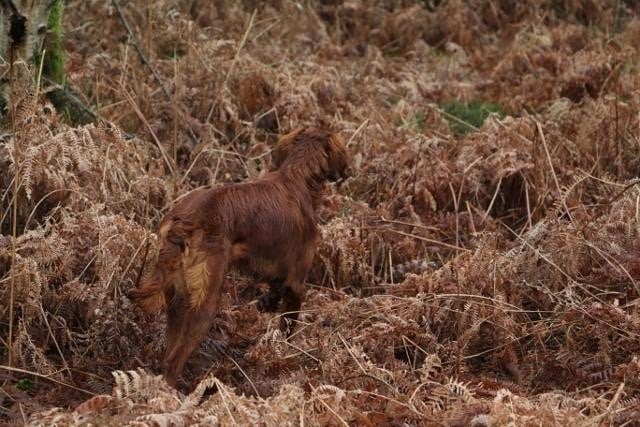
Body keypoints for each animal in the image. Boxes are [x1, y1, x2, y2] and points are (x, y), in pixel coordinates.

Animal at [131, 127, 350, 388]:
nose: (346, 173)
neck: (298, 177)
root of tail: (182, 223)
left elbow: (275, 289)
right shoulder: (296, 284)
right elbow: (287, 330)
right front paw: (285, 355)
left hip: (177, 300)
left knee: (169, 351)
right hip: (205, 301)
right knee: (173, 362)